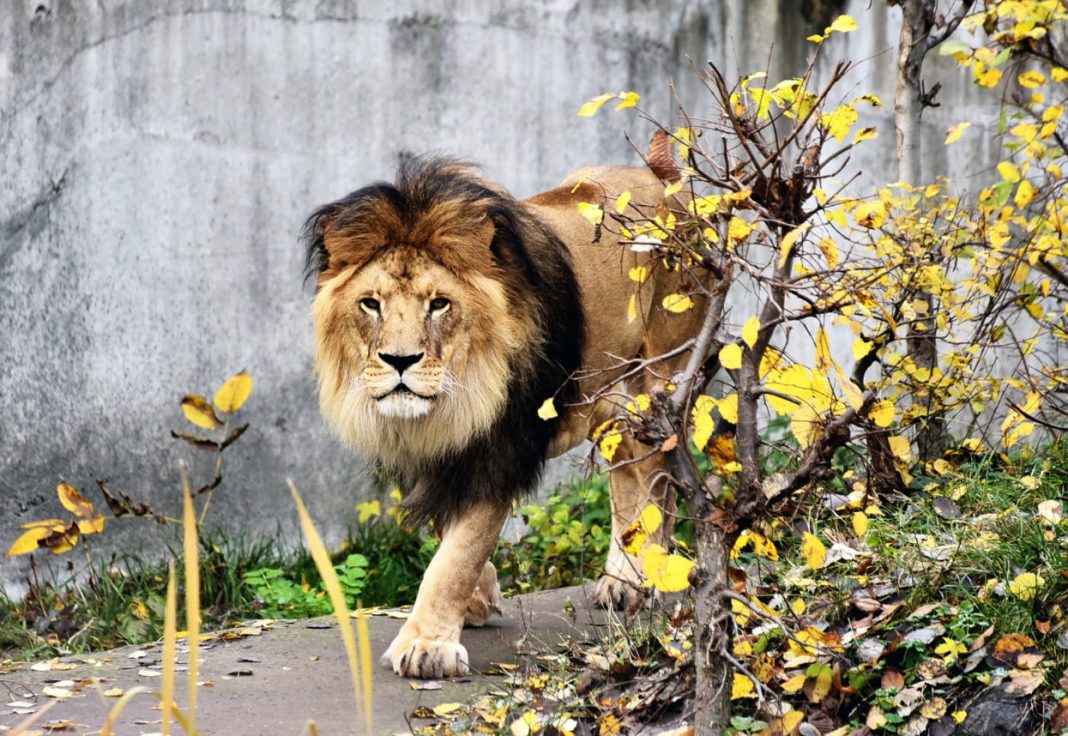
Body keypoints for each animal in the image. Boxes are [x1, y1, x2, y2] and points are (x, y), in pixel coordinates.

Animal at [302, 146, 707, 678]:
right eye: (371, 304)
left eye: (439, 304)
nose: (399, 361)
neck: (449, 407)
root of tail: (668, 182)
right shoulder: (429, 454)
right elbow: (449, 537)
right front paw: (477, 601)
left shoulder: (500, 450)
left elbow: (457, 555)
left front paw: (427, 647)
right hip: (605, 400)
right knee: (629, 470)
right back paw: (621, 581)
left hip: (660, 375)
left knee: (658, 473)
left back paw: (643, 576)